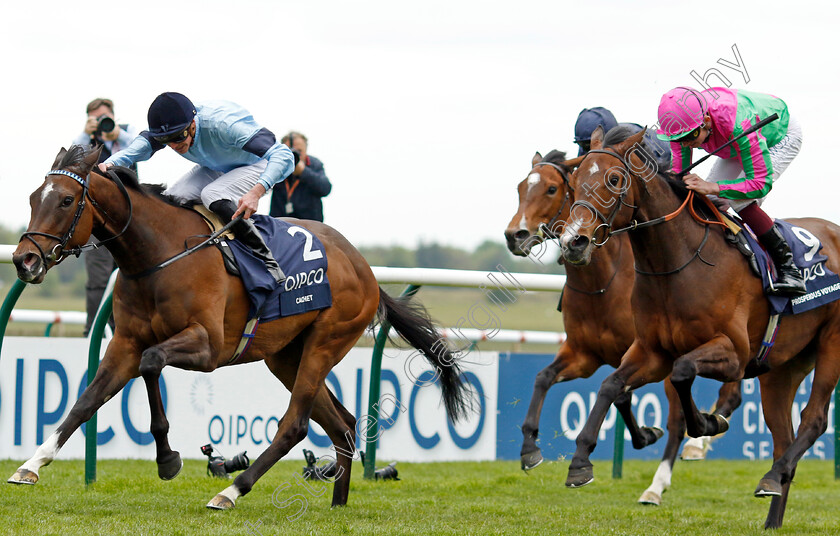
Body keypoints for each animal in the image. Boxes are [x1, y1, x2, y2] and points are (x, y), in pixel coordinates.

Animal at [9, 147, 472, 510]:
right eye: (33, 198)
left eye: (66, 200)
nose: (23, 260)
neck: (157, 256)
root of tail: (367, 271)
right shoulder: (125, 342)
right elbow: (86, 401)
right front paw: (31, 465)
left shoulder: (207, 347)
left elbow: (152, 363)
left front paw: (168, 459)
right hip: (286, 356)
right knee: (341, 423)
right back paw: (338, 504)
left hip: (326, 342)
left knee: (296, 425)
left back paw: (231, 490)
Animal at [502, 149, 740, 504]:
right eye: (520, 188)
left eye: (551, 189)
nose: (514, 235)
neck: (601, 284)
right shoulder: (584, 354)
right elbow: (545, 377)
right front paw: (530, 448)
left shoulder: (644, 351)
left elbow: (623, 398)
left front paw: (645, 436)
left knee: (682, 417)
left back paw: (662, 479)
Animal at [560, 127, 840, 528]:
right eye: (574, 181)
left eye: (614, 179)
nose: (573, 242)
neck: (676, 262)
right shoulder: (651, 351)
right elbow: (611, 385)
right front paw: (580, 463)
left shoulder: (734, 355)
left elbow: (682, 372)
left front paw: (708, 425)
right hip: (782, 368)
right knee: (783, 437)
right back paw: (772, 510)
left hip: (831, 344)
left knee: (813, 421)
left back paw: (770, 476)